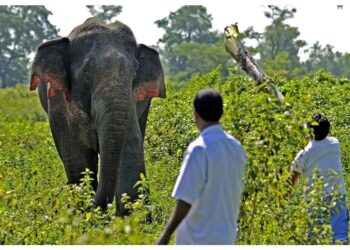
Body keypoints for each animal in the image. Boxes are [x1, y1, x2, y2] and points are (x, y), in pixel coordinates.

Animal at [29, 18, 165, 216]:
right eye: (86, 72)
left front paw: (132, 217)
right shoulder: (59, 103)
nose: (96, 208)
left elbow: (130, 147)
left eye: (135, 73)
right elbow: (77, 156)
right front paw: (85, 214)